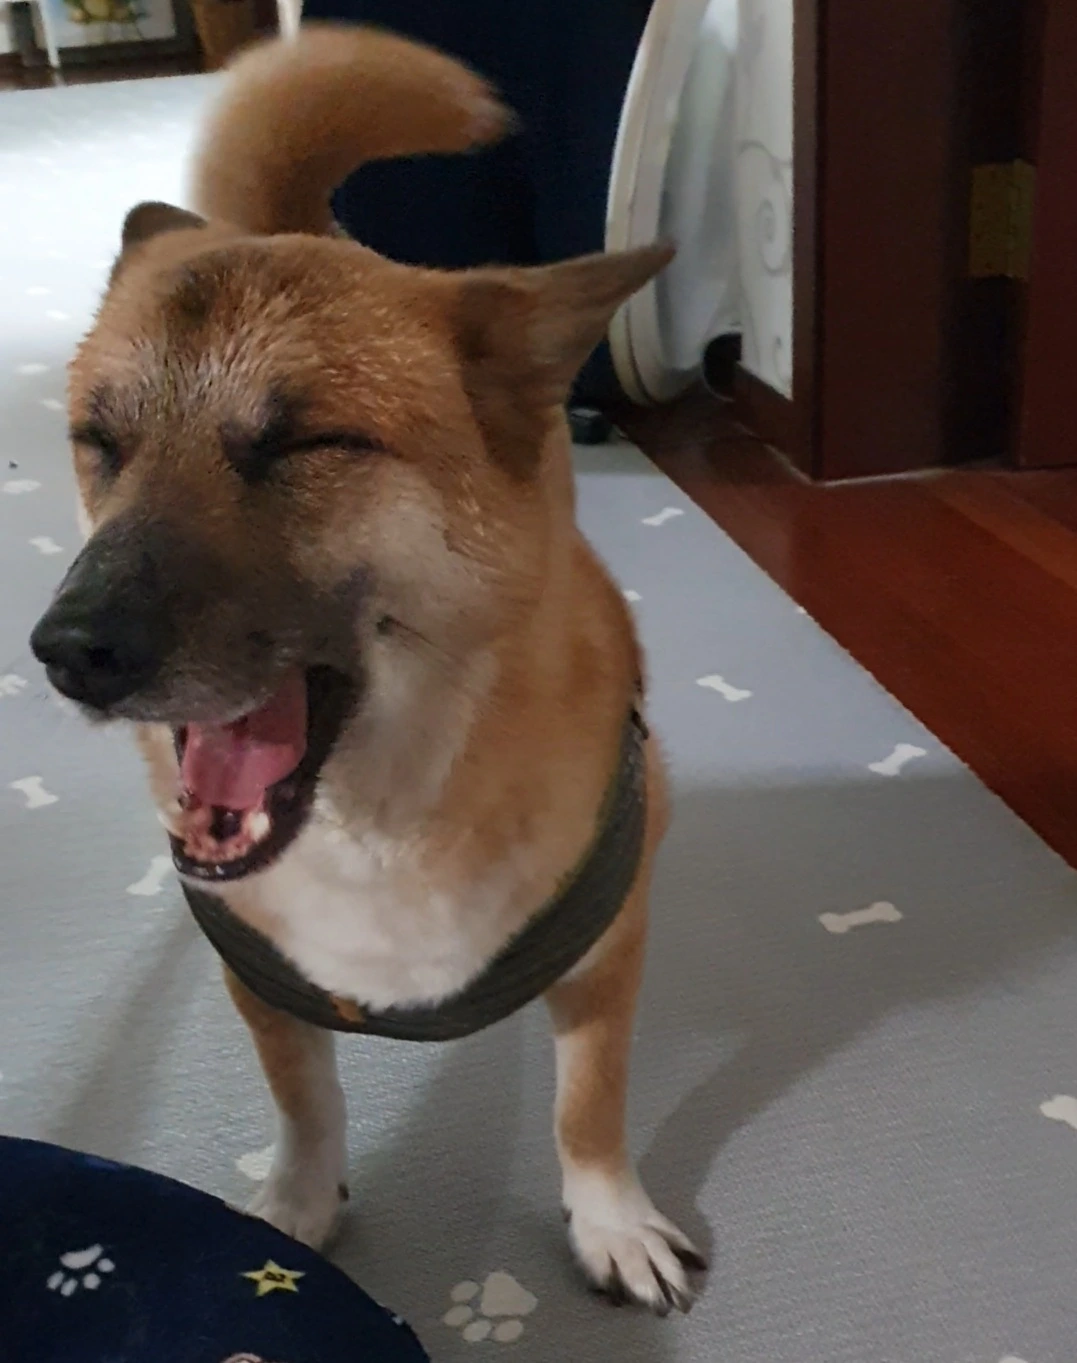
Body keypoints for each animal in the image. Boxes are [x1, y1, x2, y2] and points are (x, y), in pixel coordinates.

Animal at [29, 26, 704, 1314]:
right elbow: (305, 1104)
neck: (382, 818)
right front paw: (296, 1211)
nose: (70, 652)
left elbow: (588, 1111)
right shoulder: (262, 980)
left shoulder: (611, 952)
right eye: (101, 442)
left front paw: (609, 1220)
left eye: (304, 444)